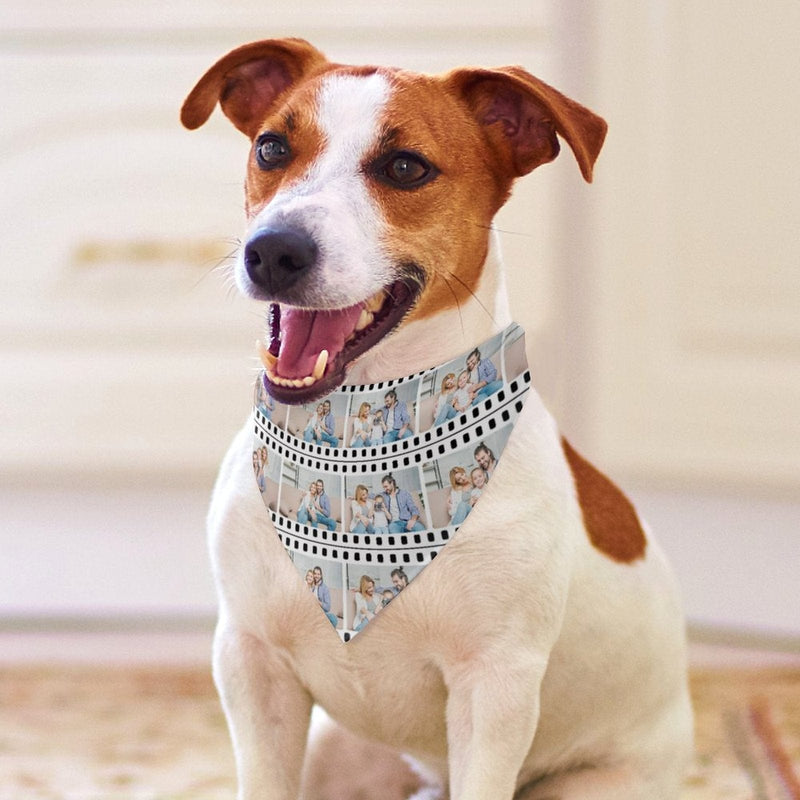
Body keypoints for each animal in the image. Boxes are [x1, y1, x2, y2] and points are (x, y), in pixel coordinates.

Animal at [181, 37, 692, 800]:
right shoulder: (251, 662)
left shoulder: (495, 688)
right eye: (272, 147)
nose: (273, 250)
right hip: (336, 752)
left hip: (590, 784)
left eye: (405, 167)